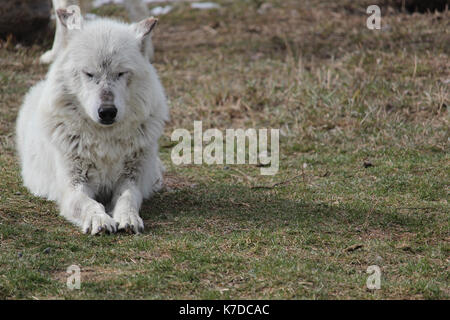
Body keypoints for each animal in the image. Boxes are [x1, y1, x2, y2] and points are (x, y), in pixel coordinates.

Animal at [16, 8, 169, 234]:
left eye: (121, 73)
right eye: (89, 73)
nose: (107, 111)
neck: (105, 141)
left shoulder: (131, 179)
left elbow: (128, 197)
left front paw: (128, 217)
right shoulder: (73, 186)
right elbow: (89, 203)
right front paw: (100, 220)